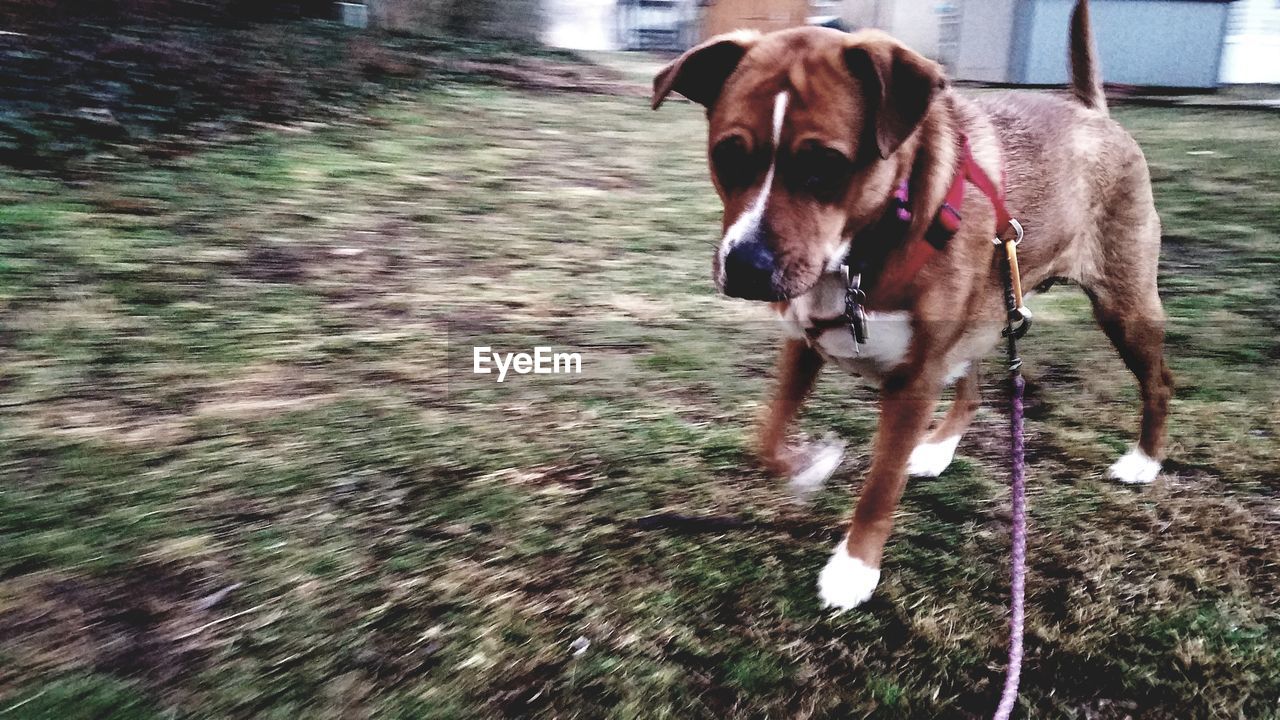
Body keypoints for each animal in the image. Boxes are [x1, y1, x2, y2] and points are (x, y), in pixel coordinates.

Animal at [655, 0, 1172, 609]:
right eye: (728, 155)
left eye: (825, 165)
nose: (746, 267)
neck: (859, 254)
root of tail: (1091, 112)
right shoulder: (804, 343)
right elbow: (769, 436)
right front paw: (811, 464)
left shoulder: (915, 380)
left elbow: (880, 485)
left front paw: (854, 568)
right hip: (985, 309)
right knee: (971, 386)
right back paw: (937, 449)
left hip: (1123, 306)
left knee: (1159, 383)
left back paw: (1144, 461)